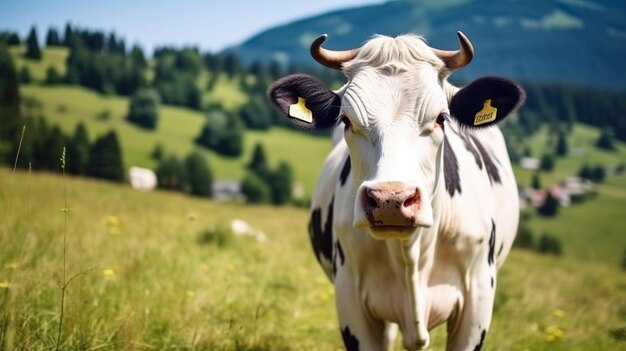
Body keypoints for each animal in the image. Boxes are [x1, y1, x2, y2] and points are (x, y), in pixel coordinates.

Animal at [266, 31, 520, 351]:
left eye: (442, 118)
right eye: (346, 120)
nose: (391, 199)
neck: (410, 256)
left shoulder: (478, 298)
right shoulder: (351, 299)